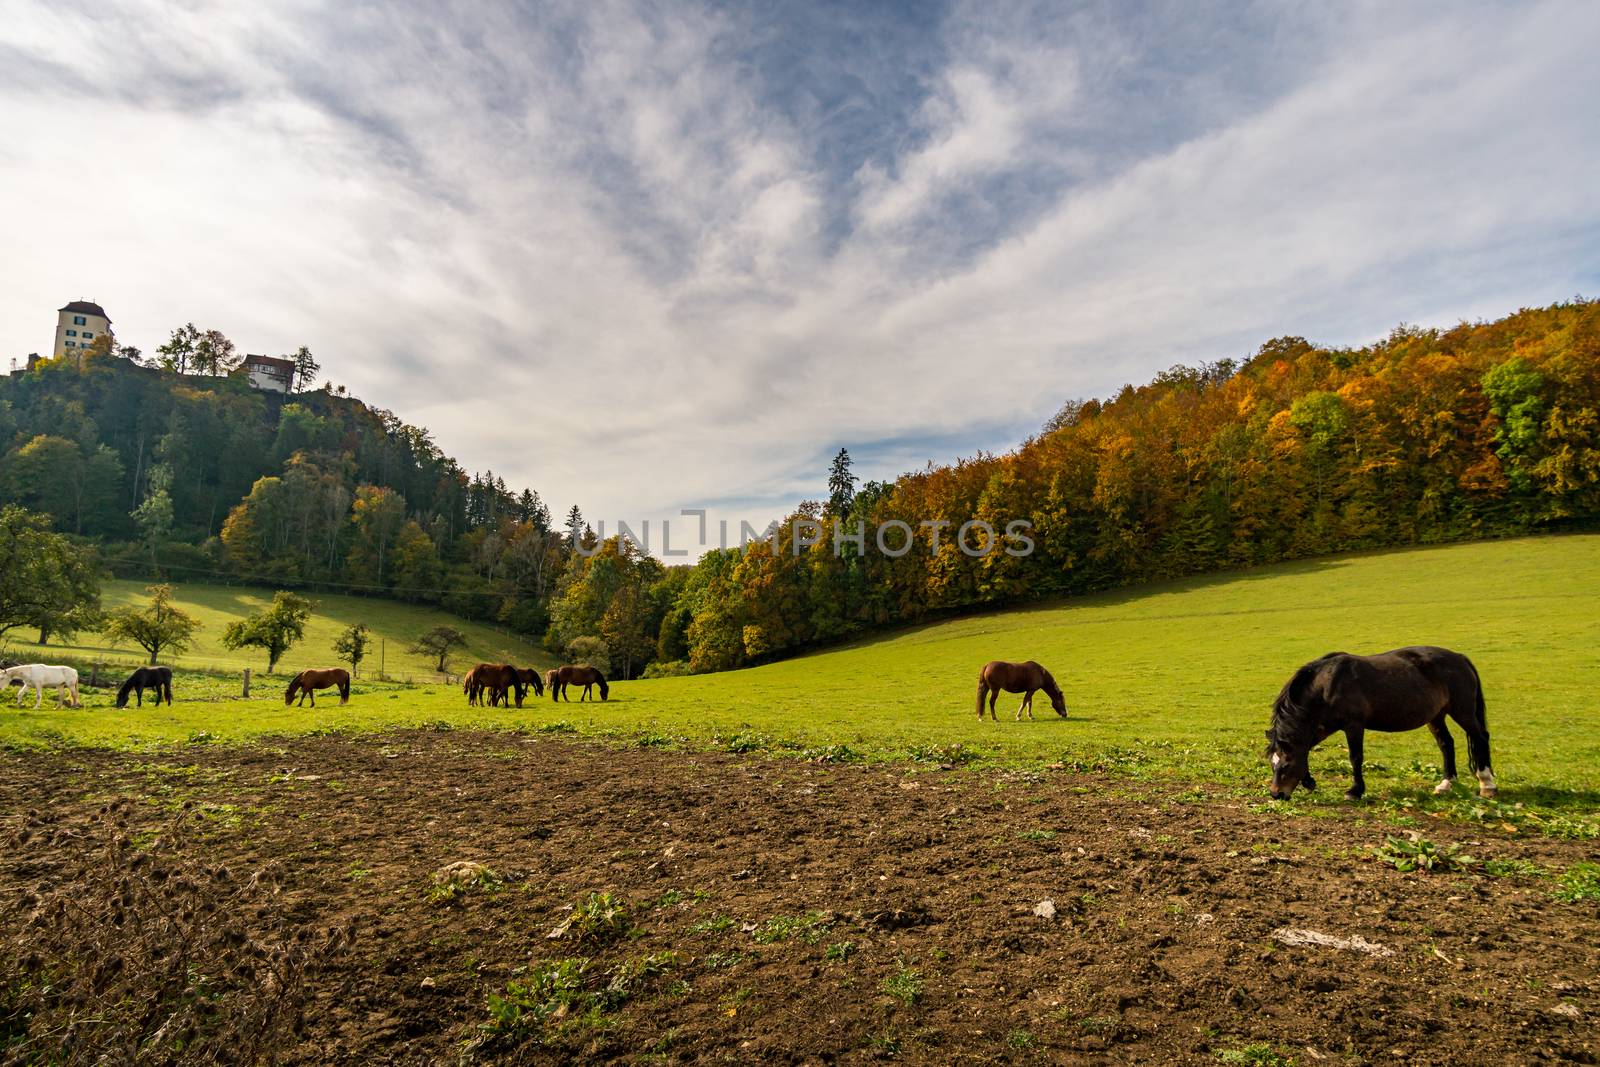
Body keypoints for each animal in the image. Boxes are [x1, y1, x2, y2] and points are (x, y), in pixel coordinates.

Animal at [1260, 646, 1497, 806]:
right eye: (1273, 764)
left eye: (1286, 764)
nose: (1276, 794)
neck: (1326, 685)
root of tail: (1460, 658)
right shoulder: (1321, 727)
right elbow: (1306, 749)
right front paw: (1309, 782)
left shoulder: (1353, 725)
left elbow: (1355, 758)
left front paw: (1355, 791)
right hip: (1436, 716)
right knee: (1446, 744)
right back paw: (1447, 784)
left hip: (1462, 712)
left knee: (1481, 737)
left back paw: (1487, 784)